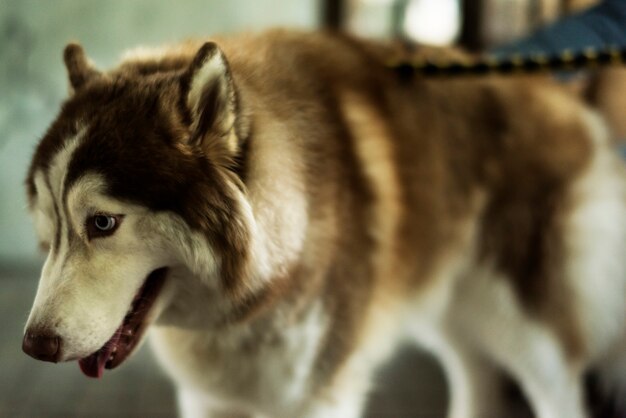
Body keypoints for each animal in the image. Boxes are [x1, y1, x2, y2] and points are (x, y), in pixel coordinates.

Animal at [22, 30, 620, 418]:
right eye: (50, 227)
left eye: (102, 222)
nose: (33, 347)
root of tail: (563, 92)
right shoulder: (211, 399)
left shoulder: (319, 397)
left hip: (521, 325)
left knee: (560, 394)